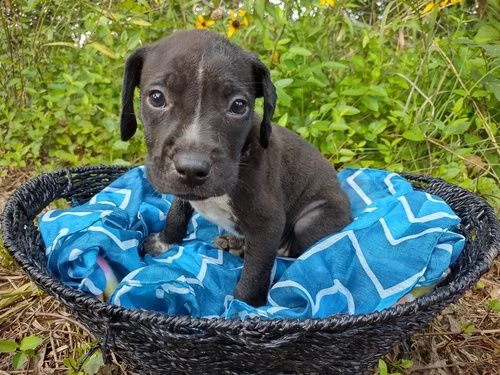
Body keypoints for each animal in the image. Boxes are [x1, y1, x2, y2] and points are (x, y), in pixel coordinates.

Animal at [120, 28, 352, 306]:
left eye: (238, 106)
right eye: (157, 98)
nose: (192, 168)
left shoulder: (268, 224)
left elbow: (255, 273)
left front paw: (244, 307)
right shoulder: (182, 191)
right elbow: (176, 213)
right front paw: (165, 241)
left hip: (312, 220)